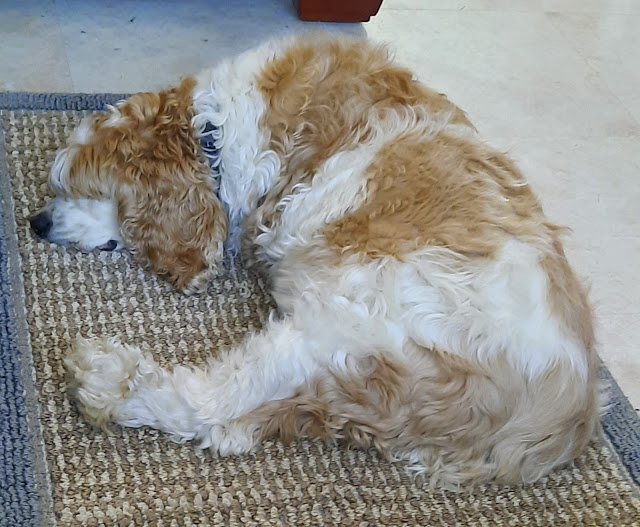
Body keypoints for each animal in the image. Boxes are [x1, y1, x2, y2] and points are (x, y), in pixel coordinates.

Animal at [30, 33, 602, 488]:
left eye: (81, 189)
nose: (36, 222)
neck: (214, 130)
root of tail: (562, 424)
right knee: (235, 425)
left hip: (342, 327)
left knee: (210, 404)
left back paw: (107, 378)